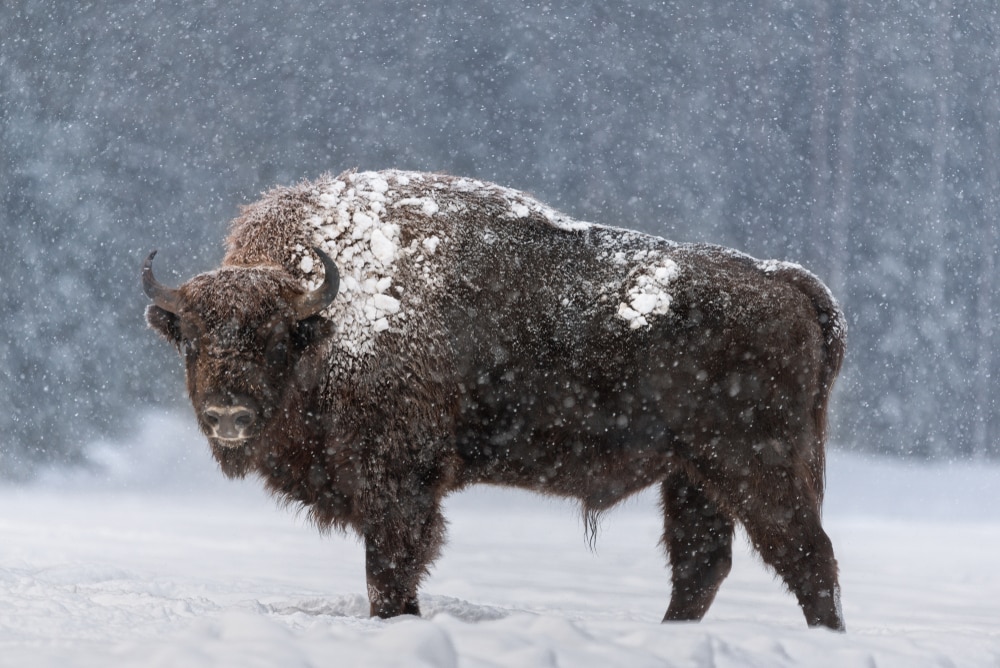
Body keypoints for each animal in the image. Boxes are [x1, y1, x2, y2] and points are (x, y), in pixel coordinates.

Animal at [141, 170, 844, 628]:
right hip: (694, 475)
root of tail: (785, 280)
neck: (330, 319)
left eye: (273, 336)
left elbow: (389, 573)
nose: (228, 414)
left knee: (807, 558)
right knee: (702, 565)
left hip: (756, 464)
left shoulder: (398, 486)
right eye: (192, 338)